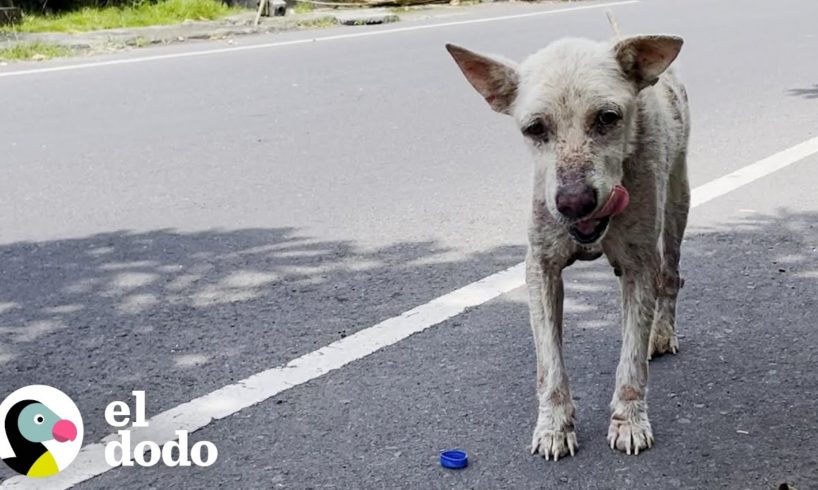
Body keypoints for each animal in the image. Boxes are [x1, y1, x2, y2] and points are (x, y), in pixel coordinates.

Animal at [446, 22, 688, 460]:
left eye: (608, 117)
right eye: (534, 128)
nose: (574, 202)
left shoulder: (639, 265)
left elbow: (631, 359)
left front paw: (629, 420)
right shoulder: (540, 268)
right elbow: (550, 362)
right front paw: (554, 425)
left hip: (678, 202)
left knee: (670, 275)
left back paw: (661, 331)